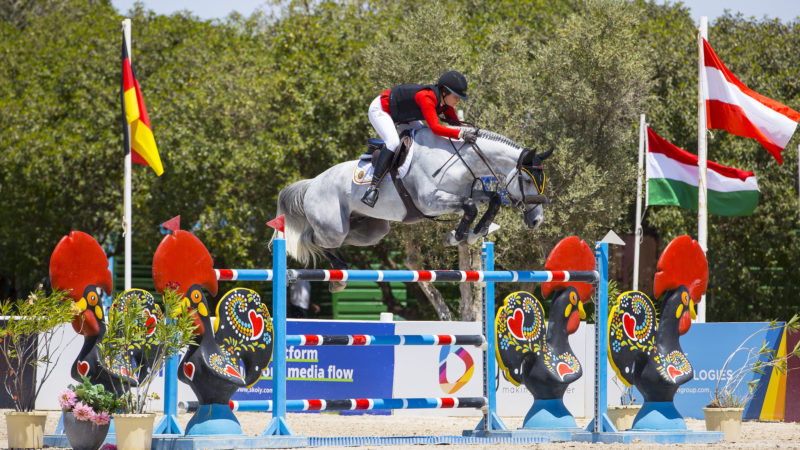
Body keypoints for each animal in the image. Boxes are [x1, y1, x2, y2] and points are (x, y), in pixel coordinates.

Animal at [276, 126, 552, 292]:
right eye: (527, 180)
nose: (537, 221)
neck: (459, 161)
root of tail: (312, 183)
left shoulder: (466, 192)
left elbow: (491, 199)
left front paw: (473, 234)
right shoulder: (430, 201)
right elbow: (470, 207)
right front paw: (457, 236)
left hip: (371, 230)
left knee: (345, 238)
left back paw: (340, 270)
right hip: (333, 227)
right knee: (311, 239)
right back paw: (336, 274)